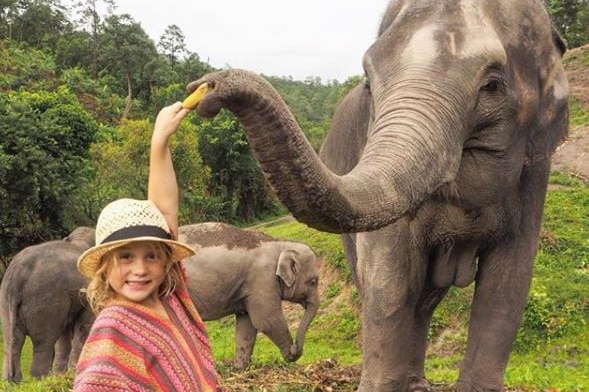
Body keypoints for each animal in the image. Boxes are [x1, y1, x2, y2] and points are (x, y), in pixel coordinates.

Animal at [0, 227, 95, 382]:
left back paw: (13, 382)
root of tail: (17, 275)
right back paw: (42, 380)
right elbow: (83, 328)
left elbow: (65, 335)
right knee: (44, 343)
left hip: (6, 300)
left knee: (12, 341)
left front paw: (62, 375)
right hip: (45, 302)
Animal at [177, 222, 320, 370]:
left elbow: (247, 324)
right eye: (313, 281)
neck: (280, 243)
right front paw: (290, 354)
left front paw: (240, 368)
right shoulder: (262, 279)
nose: (296, 349)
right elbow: (268, 320)